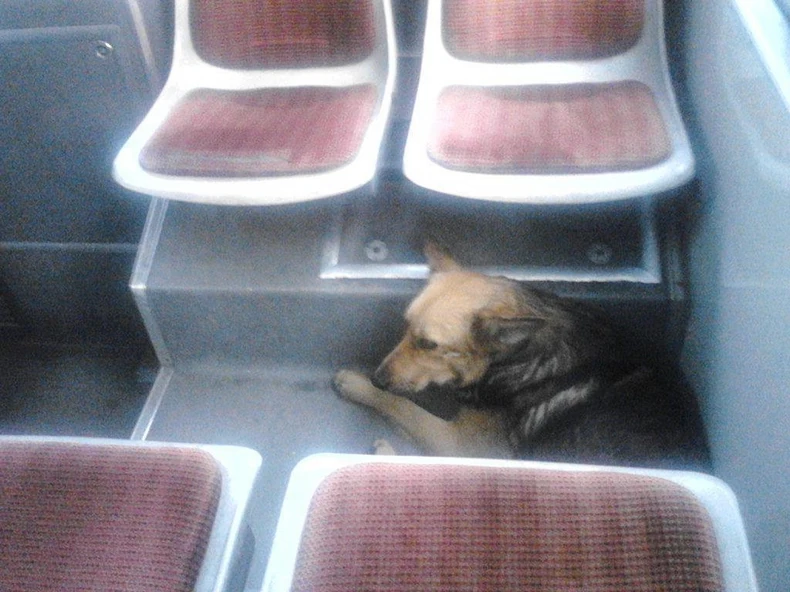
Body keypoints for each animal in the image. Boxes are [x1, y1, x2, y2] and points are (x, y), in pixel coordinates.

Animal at [333, 244, 710, 469]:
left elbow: (403, 405)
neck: (517, 356)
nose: (378, 377)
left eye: (428, 345)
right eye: (406, 327)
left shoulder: (464, 445)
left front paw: (360, 385)